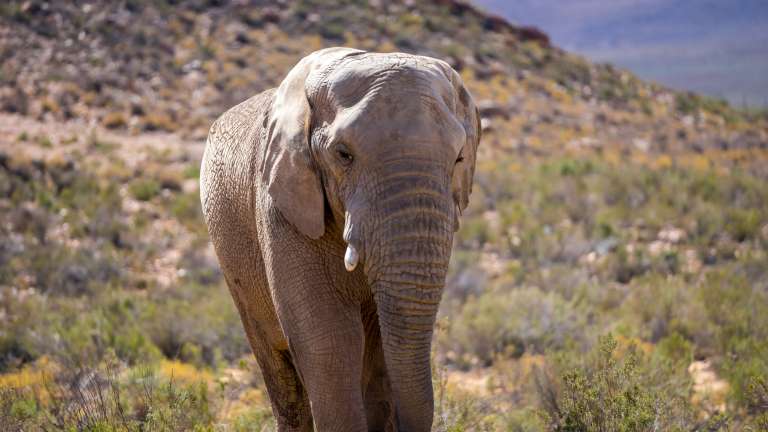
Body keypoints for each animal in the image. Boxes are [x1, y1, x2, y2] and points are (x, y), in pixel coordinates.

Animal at [199, 47, 480, 431]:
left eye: (459, 158)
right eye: (343, 155)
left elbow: (378, 348)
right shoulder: (283, 202)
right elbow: (329, 341)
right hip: (231, 258)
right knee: (278, 368)